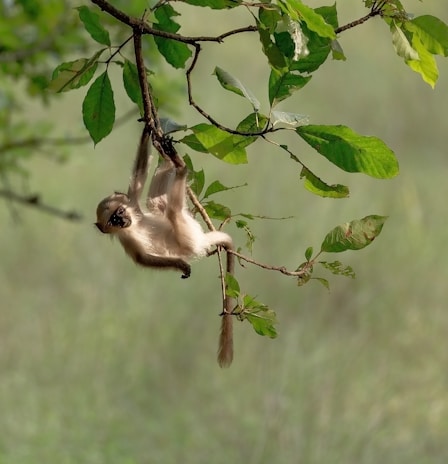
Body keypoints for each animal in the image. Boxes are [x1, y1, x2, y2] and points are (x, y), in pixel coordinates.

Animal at [94, 127, 234, 366]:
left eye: (119, 212)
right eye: (113, 220)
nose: (122, 221)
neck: (134, 222)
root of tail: (201, 239)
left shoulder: (132, 205)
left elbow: (138, 178)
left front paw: (147, 129)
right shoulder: (126, 239)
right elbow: (142, 259)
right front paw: (181, 265)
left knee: (156, 203)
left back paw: (168, 156)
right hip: (188, 235)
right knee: (172, 212)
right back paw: (180, 168)